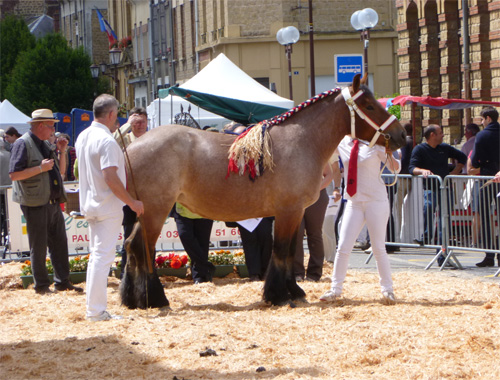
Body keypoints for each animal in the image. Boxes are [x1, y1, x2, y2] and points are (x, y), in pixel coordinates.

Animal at [121, 75, 406, 308]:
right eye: (369, 106)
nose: (402, 134)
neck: (301, 140)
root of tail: (130, 148)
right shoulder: (288, 211)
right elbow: (280, 252)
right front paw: (278, 295)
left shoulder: (295, 213)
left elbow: (289, 252)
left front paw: (293, 291)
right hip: (156, 210)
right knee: (143, 247)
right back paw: (156, 298)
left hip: (145, 211)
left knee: (131, 245)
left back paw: (132, 299)